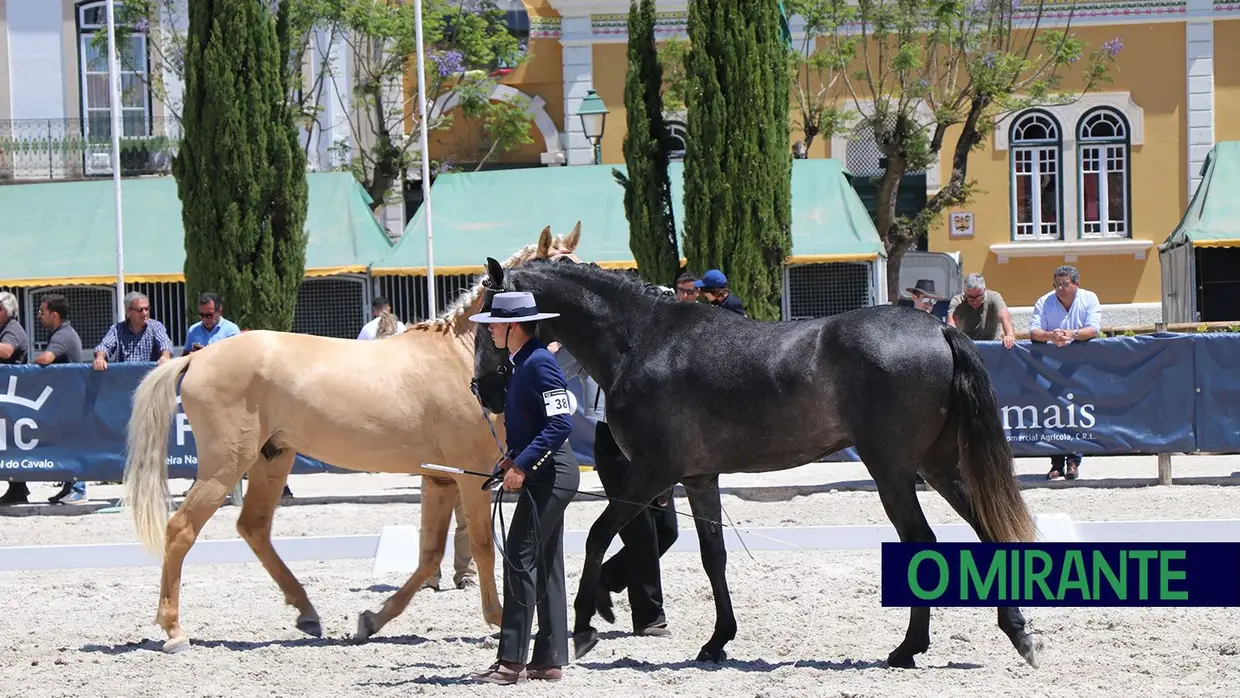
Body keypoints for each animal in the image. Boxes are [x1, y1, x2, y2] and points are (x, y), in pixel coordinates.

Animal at [118, 225, 582, 654]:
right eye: (562, 272)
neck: (462, 355)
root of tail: (196, 358)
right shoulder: (471, 477)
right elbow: (484, 547)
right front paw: (497, 619)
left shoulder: (440, 479)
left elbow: (429, 554)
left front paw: (372, 620)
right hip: (227, 464)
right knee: (181, 529)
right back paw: (175, 631)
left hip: (273, 458)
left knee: (254, 527)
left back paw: (306, 612)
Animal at [468, 256, 1041, 669]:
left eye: (486, 320)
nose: (486, 390)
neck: (643, 340)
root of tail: (937, 329)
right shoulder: (698, 477)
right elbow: (713, 557)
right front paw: (717, 641)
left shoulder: (651, 472)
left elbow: (596, 535)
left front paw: (587, 622)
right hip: (938, 467)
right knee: (987, 531)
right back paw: (1017, 633)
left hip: (895, 473)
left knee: (924, 542)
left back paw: (907, 649)